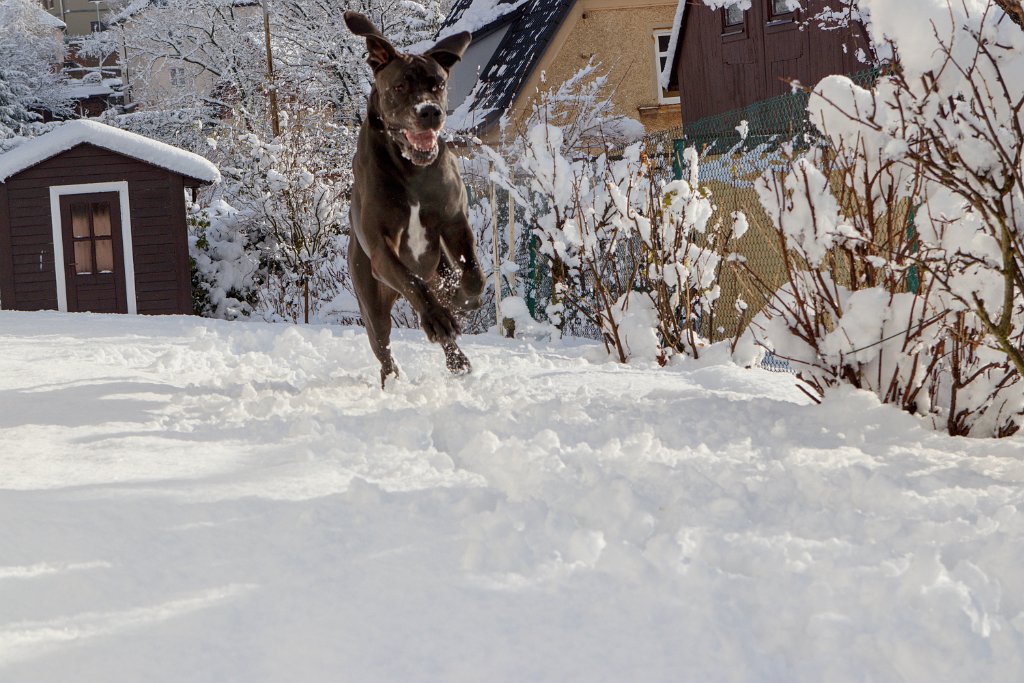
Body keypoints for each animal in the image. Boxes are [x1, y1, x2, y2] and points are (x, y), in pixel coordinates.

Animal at [344, 10, 487, 387]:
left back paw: (457, 357)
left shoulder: (455, 221)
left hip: (435, 265)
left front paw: (462, 298)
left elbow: (473, 275)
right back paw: (393, 377)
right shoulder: (381, 248)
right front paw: (436, 318)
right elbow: (411, 281)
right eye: (399, 86)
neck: (411, 169)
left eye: (438, 83)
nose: (429, 111)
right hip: (370, 294)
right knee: (382, 342)